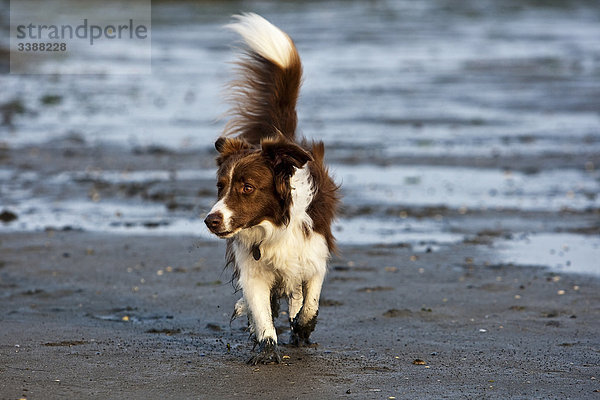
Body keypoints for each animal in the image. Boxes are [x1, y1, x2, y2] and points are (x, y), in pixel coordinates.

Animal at [205, 13, 338, 366]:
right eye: (220, 186)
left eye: (247, 187)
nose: (210, 220)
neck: (273, 226)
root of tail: (280, 137)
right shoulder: (251, 267)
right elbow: (261, 309)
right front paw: (266, 345)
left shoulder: (315, 251)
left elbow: (311, 300)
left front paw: (303, 326)